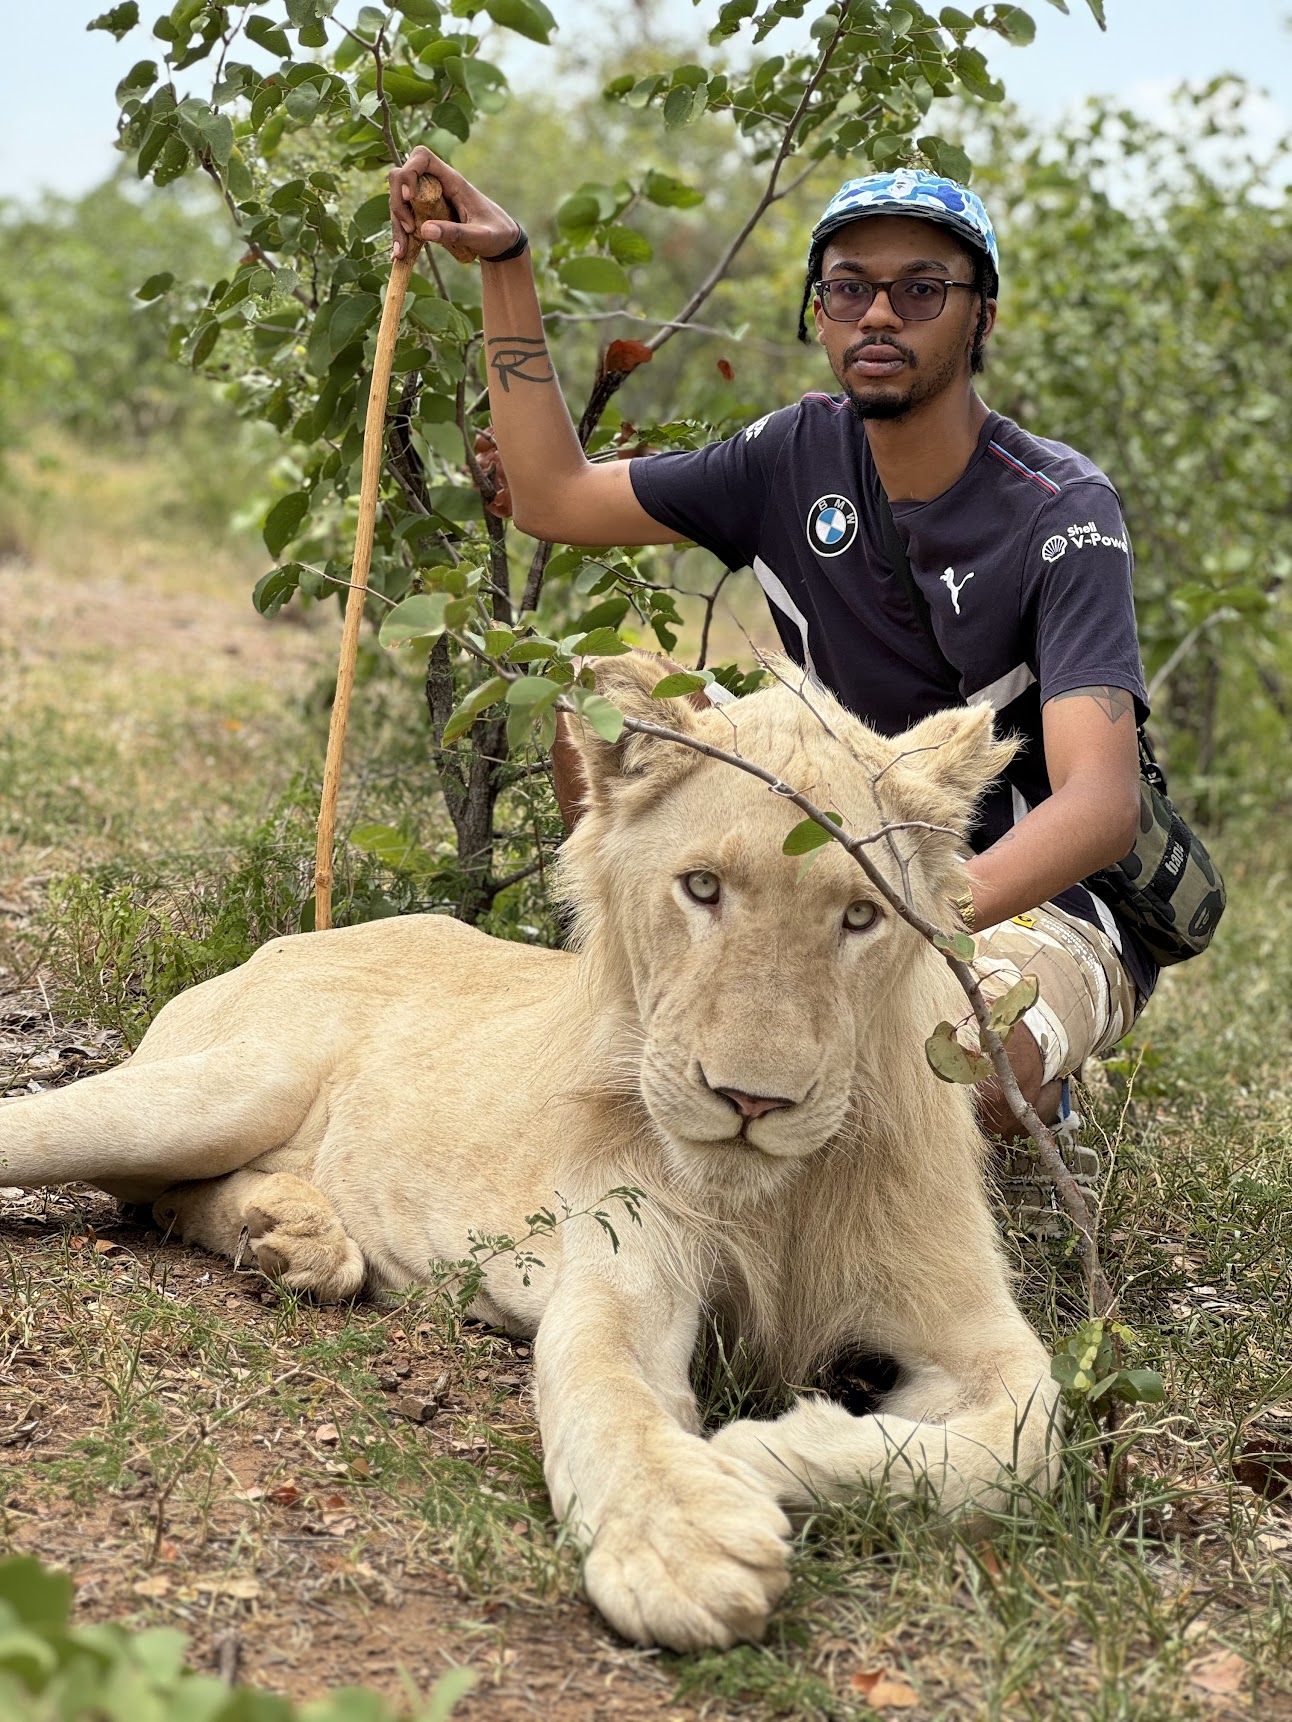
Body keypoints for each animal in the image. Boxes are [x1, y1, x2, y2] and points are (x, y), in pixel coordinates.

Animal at [0, 652, 1058, 1653]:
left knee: (164, 1198)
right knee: (82, 1148)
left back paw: (295, 1238)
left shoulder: (974, 1325)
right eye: (702, 888)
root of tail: (284, 941)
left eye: (860, 917)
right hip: (225, 1085)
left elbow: (1026, 1440)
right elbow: (605, 1394)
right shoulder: (623, 1269)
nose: (752, 1101)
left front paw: (770, 1450)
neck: (779, 1197)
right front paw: (682, 1537)